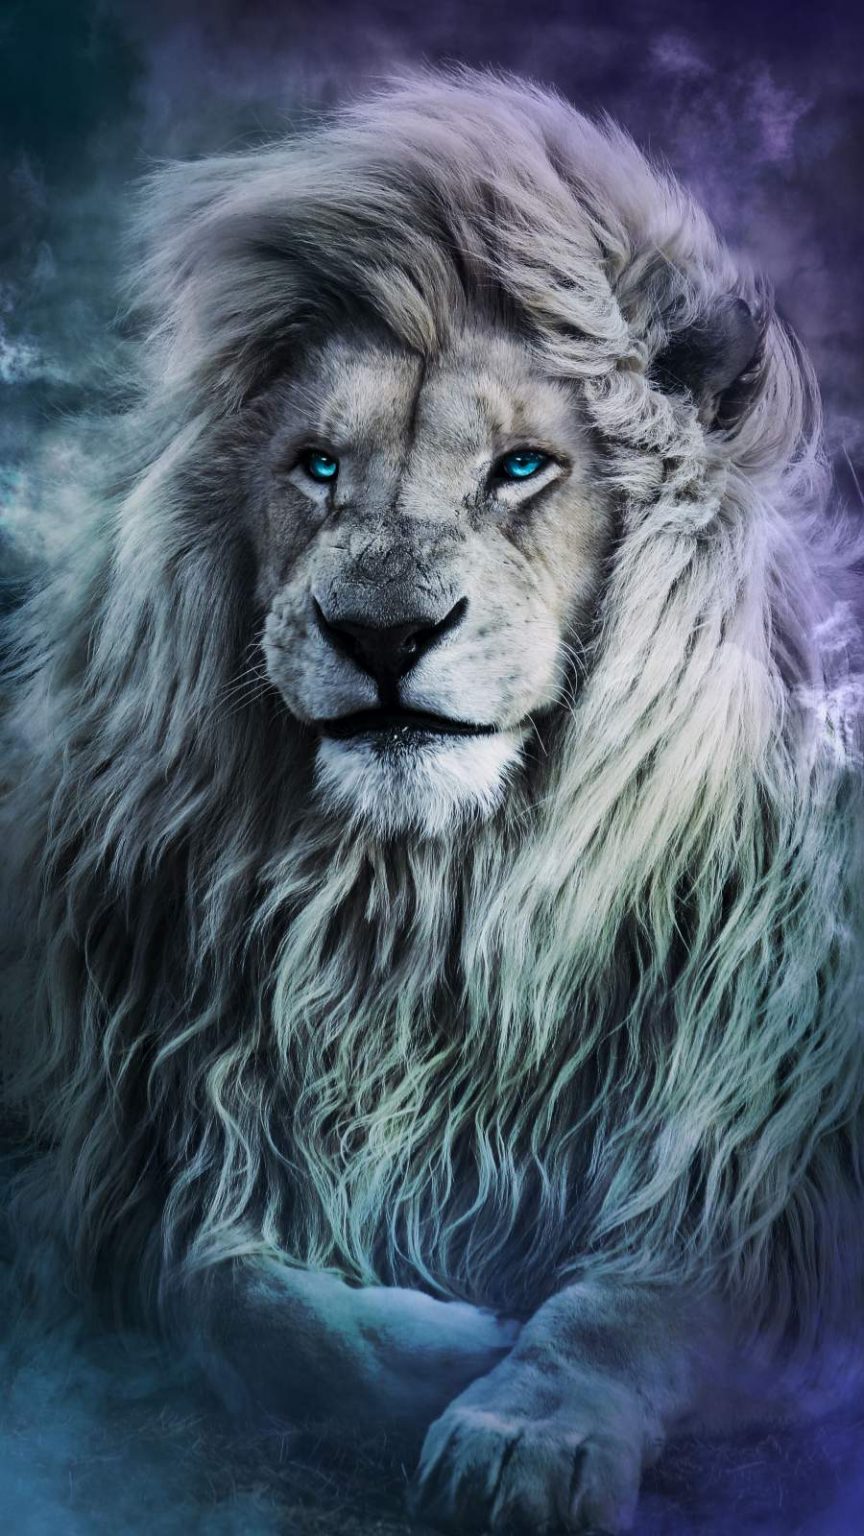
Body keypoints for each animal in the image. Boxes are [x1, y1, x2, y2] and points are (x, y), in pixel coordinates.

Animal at [1, 66, 863, 1534]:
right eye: (316, 466)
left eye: (523, 467)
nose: (381, 632)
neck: (429, 908)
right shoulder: (140, 1140)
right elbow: (223, 1289)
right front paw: (436, 1354)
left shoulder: (760, 1163)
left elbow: (636, 1301)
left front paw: (527, 1427)